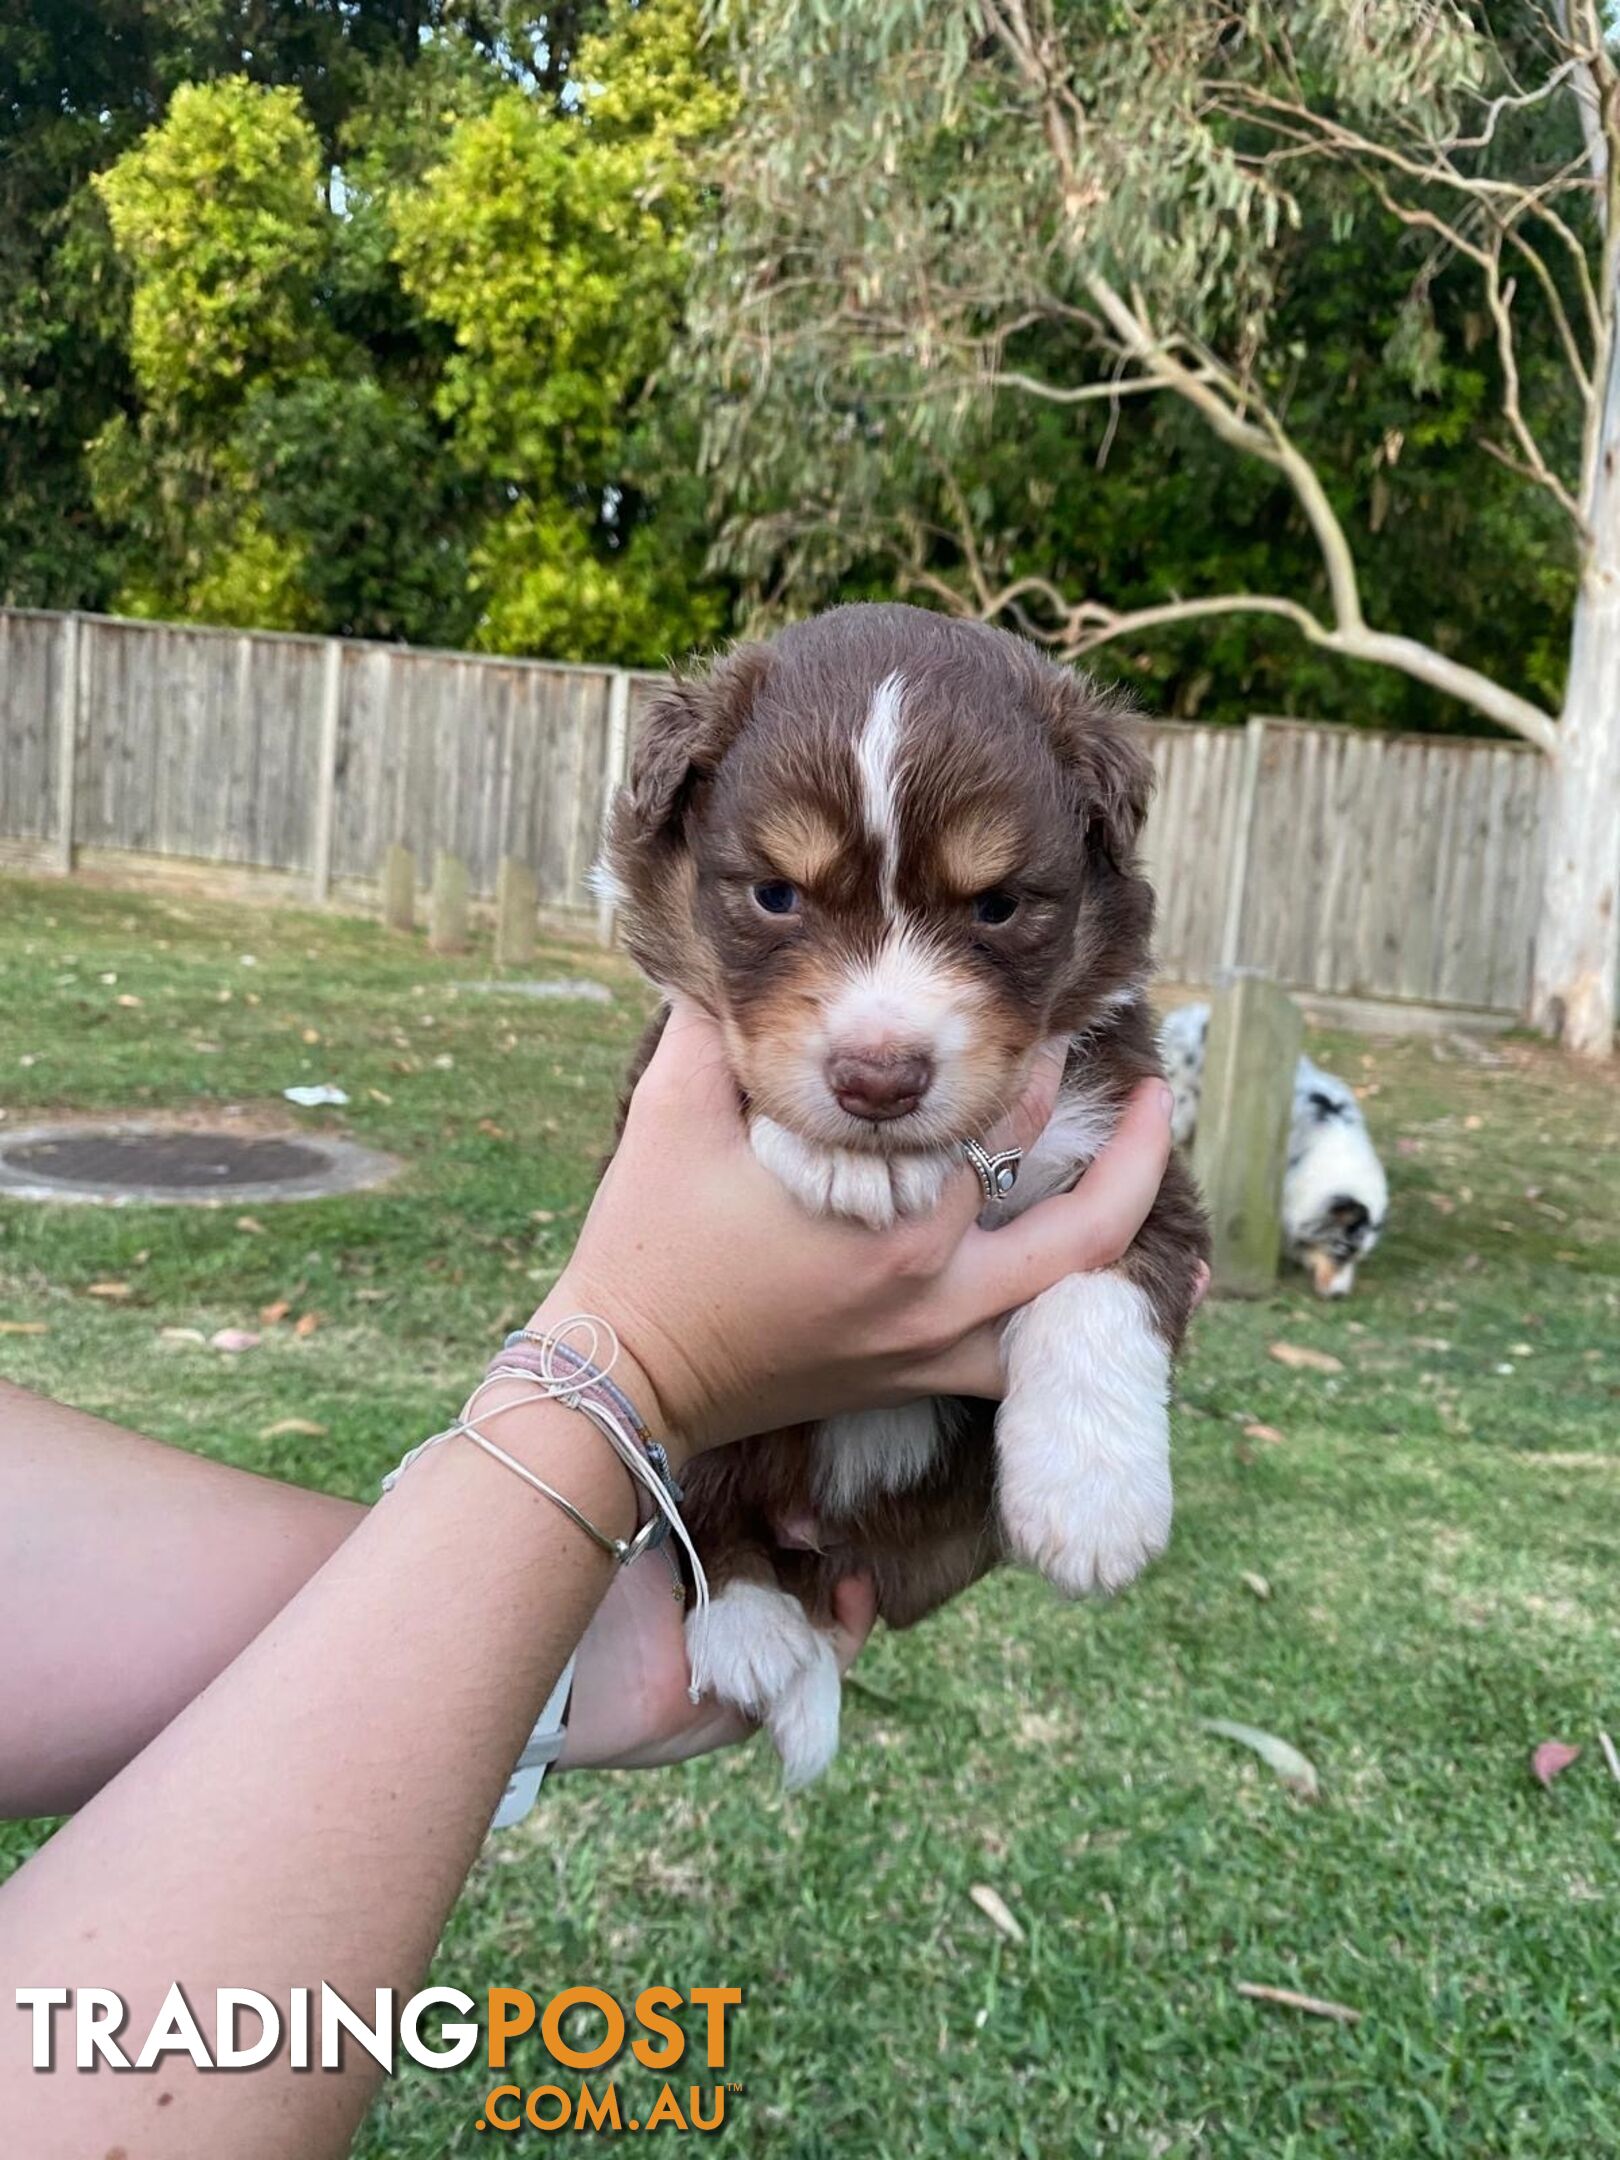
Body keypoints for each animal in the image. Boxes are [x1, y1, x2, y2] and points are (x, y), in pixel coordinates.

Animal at [596, 609, 1209, 1788]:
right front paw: (848, 1157)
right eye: (775, 895)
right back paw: (748, 1626)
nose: (877, 1080)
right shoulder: (652, 1085)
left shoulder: (1138, 1153)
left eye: (999, 906)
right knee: (705, 1504)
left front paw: (1093, 1503)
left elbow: (1098, 1291)